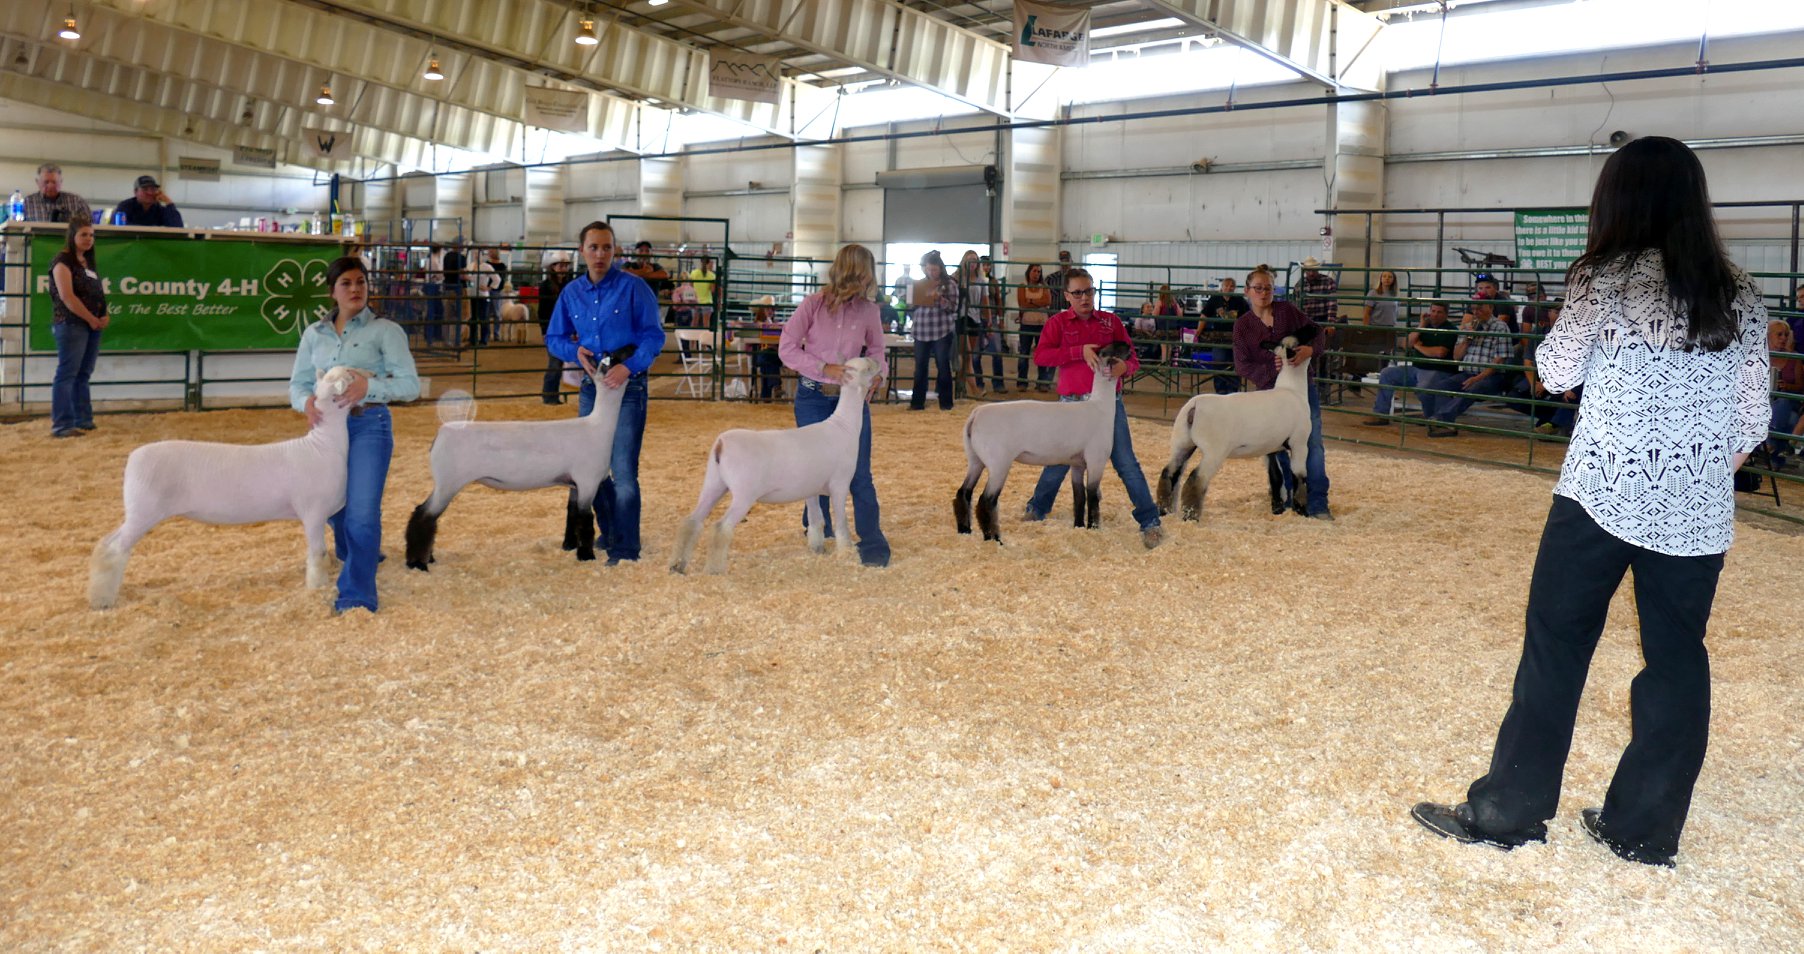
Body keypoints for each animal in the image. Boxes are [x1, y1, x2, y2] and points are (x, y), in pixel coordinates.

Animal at [87, 360, 362, 605]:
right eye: (348, 374)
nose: (360, 373)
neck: (323, 444)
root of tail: (133, 457)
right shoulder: (313, 512)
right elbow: (318, 554)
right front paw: (318, 586)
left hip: (138, 512)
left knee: (107, 543)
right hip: (144, 511)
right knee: (114, 549)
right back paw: (101, 599)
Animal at [405, 344, 638, 566]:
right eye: (616, 357)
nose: (634, 346)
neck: (599, 426)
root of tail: (440, 434)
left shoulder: (575, 484)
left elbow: (572, 515)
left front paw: (569, 546)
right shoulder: (587, 481)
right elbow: (586, 522)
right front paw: (586, 555)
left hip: (443, 484)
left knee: (423, 513)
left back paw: (427, 558)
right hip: (448, 482)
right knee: (424, 517)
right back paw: (418, 563)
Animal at [671, 357, 880, 573]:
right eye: (868, 367)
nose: (879, 363)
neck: (844, 426)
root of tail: (721, 443)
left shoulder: (811, 489)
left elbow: (816, 520)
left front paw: (817, 549)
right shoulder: (840, 484)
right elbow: (841, 523)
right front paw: (846, 552)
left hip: (714, 483)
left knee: (691, 521)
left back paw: (678, 565)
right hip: (744, 493)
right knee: (721, 528)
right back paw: (714, 569)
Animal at [952, 340, 1132, 544]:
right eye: (1113, 349)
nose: (1128, 345)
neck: (1101, 406)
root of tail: (975, 415)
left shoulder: (1077, 463)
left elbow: (1079, 497)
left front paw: (1078, 526)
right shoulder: (1096, 460)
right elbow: (1093, 497)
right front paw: (1093, 528)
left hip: (975, 459)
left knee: (963, 492)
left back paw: (965, 530)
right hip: (998, 463)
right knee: (987, 500)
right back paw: (995, 539)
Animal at [1161, 330, 1320, 519]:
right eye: (1301, 337)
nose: (1314, 330)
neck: (1293, 390)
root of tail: (1194, 407)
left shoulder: (1269, 447)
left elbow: (1275, 477)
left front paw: (1278, 510)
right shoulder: (1299, 443)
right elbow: (1299, 477)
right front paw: (1302, 510)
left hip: (1182, 442)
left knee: (1169, 473)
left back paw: (1164, 511)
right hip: (1215, 450)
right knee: (1195, 480)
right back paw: (1191, 517)